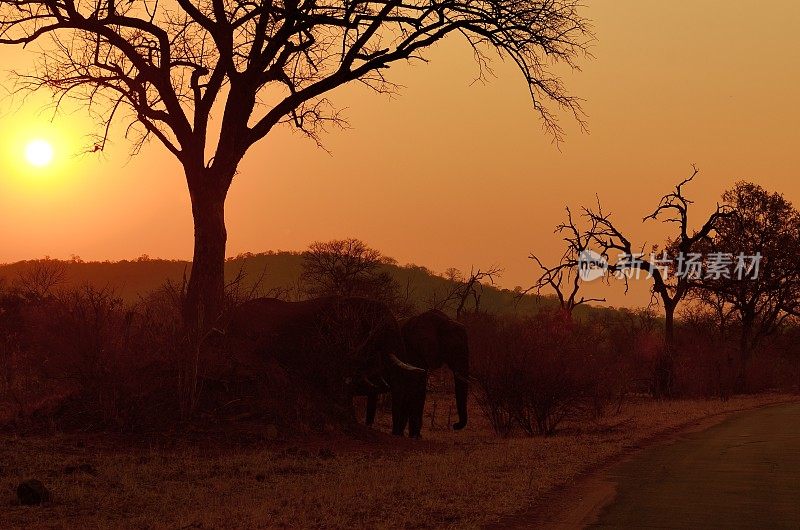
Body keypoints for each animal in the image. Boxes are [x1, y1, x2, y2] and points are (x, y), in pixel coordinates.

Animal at [382, 308, 468, 436]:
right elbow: (413, 387)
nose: (455, 425)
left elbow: (420, 387)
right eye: (455, 349)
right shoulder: (411, 349)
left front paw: (416, 436)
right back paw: (397, 433)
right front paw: (413, 436)